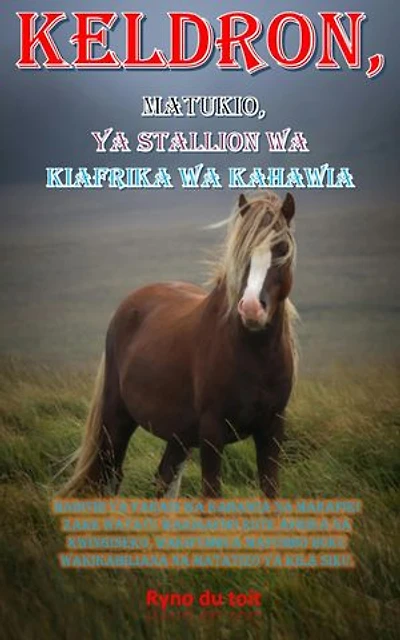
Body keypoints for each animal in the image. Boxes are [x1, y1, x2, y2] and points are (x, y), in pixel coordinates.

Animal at [60, 190, 298, 499]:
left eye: (281, 248)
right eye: (242, 251)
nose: (251, 309)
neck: (254, 357)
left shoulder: (272, 429)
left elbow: (270, 493)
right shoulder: (212, 432)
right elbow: (211, 496)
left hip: (179, 434)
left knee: (164, 480)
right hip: (117, 419)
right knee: (111, 477)